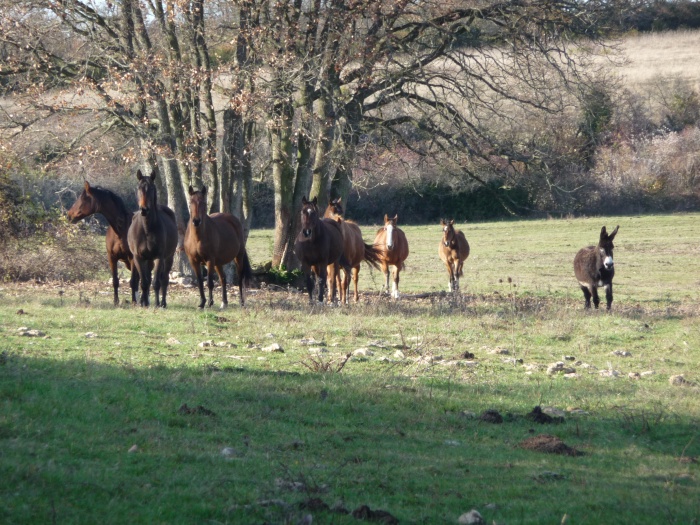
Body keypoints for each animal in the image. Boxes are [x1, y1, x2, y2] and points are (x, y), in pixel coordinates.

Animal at [127, 170, 179, 308]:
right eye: (139, 188)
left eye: (151, 188)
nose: (144, 209)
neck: (147, 228)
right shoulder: (138, 258)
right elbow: (144, 282)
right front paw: (144, 303)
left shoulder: (159, 257)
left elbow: (156, 282)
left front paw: (156, 304)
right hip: (147, 260)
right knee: (148, 279)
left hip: (169, 257)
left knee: (164, 279)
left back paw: (163, 303)